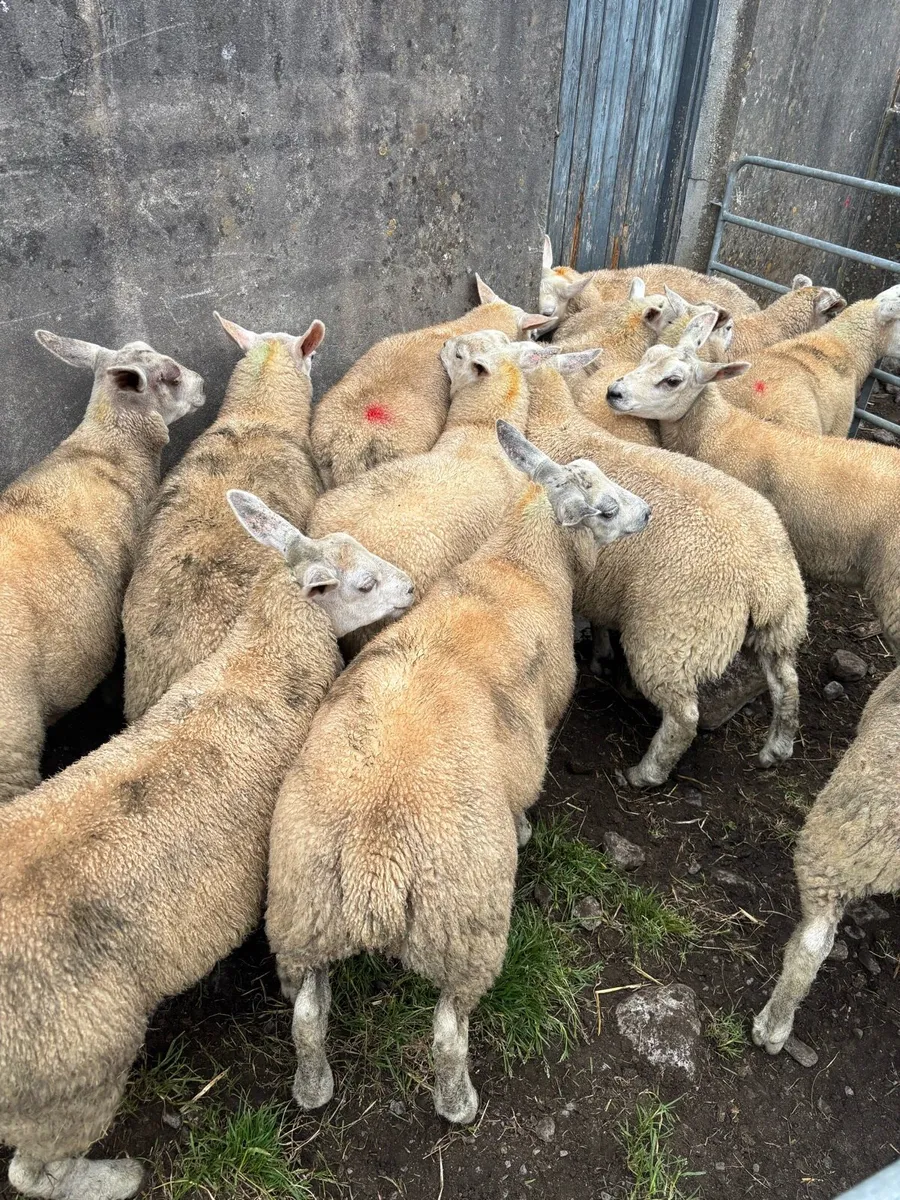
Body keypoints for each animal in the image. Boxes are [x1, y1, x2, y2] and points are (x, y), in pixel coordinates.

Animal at [0, 491, 413, 1200]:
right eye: (363, 583)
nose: (412, 588)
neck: (259, 656)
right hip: (69, 1073)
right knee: (32, 1172)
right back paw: (115, 1177)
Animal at [264, 421, 650, 1125]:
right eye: (606, 509)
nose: (648, 513)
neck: (521, 566)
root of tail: (375, 867)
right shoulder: (544, 722)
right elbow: (527, 791)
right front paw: (525, 829)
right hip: (465, 925)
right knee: (448, 1032)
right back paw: (458, 1101)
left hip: (303, 915)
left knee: (306, 1018)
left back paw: (313, 1086)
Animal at [526, 363, 807, 787]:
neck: (552, 419)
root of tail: (763, 579)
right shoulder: (601, 581)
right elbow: (600, 619)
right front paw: (602, 655)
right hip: (782, 624)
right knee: (787, 683)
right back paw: (776, 749)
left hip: (671, 639)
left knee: (683, 717)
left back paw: (645, 774)